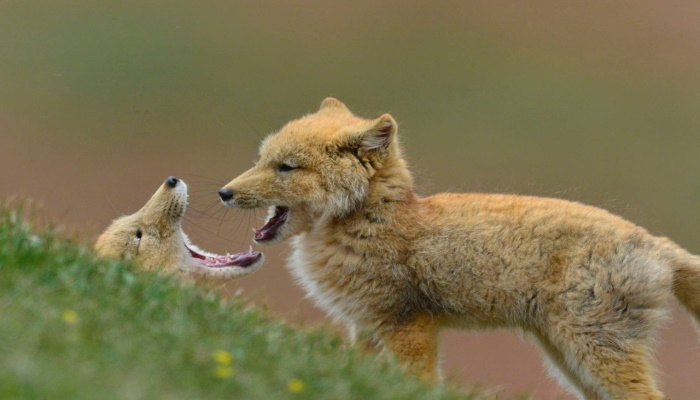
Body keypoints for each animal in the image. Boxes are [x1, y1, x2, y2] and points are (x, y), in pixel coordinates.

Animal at [217, 98, 700, 400]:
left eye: (286, 167)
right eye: (262, 160)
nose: (223, 192)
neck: (374, 223)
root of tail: (659, 244)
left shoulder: (407, 325)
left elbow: (420, 385)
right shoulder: (366, 326)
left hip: (593, 354)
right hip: (570, 360)